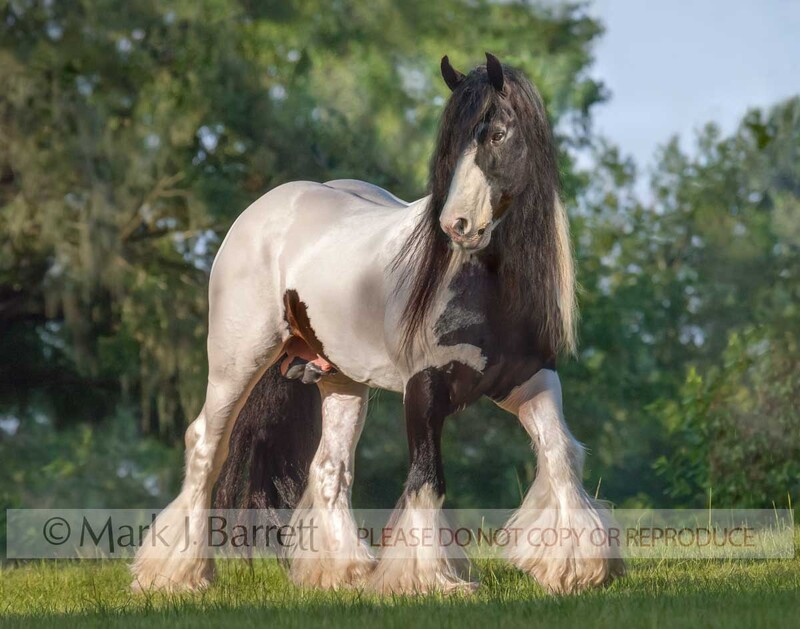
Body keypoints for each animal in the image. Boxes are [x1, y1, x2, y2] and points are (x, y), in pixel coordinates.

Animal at [131, 53, 624, 595]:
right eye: (451, 143)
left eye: (497, 133)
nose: (456, 226)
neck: (480, 284)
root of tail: (264, 210)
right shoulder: (424, 391)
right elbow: (428, 479)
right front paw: (427, 580)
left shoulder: (530, 380)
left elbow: (561, 455)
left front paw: (576, 567)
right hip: (237, 361)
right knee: (205, 447)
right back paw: (176, 574)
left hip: (341, 379)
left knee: (328, 468)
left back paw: (342, 572)